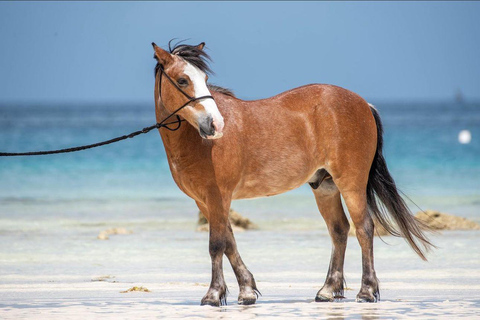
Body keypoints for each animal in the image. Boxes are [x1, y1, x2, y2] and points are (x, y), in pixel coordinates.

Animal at [152, 41, 434, 306]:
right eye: (183, 80)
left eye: (205, 79)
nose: (216, 125)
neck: (196, 140)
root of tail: (364, 103)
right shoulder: (206, 201)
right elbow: (229, 241)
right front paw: (246, 291)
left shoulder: (218, 196)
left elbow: (216, 244)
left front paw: (213, 295)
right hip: (326, 187)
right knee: (339, 230)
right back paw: (327, 290)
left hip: (351, 183)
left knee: (364, 228)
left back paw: (366, 291)